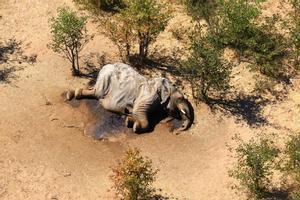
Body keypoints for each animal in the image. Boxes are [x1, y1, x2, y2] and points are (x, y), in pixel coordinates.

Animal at [66, 63, 195, 134]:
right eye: (180, 98)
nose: (179, 130)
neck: (167, 86)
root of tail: (105, 66)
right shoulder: (149, 96)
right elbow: (139, 112)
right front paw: (134, 126)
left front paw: (129, 120)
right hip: (106, 78)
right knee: (97, 92)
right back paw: (71, 95)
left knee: (94, 91)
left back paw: (73, 94)